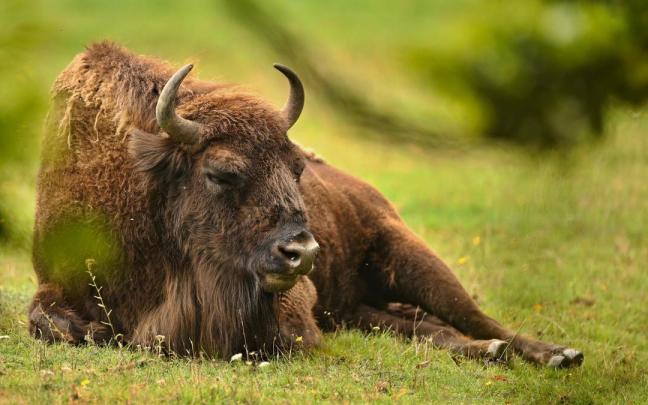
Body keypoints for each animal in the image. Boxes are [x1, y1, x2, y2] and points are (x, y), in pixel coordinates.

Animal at [29, 42, 583, 368]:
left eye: (296, 166)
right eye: (221, 172)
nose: (303, 253)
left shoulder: (293, 307)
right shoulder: (53, 284)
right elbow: (51, 324)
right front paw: (92, 329)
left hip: (413, 258)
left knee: (475, 317)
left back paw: (556, 354)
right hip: (358, 309)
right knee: (423, 327)